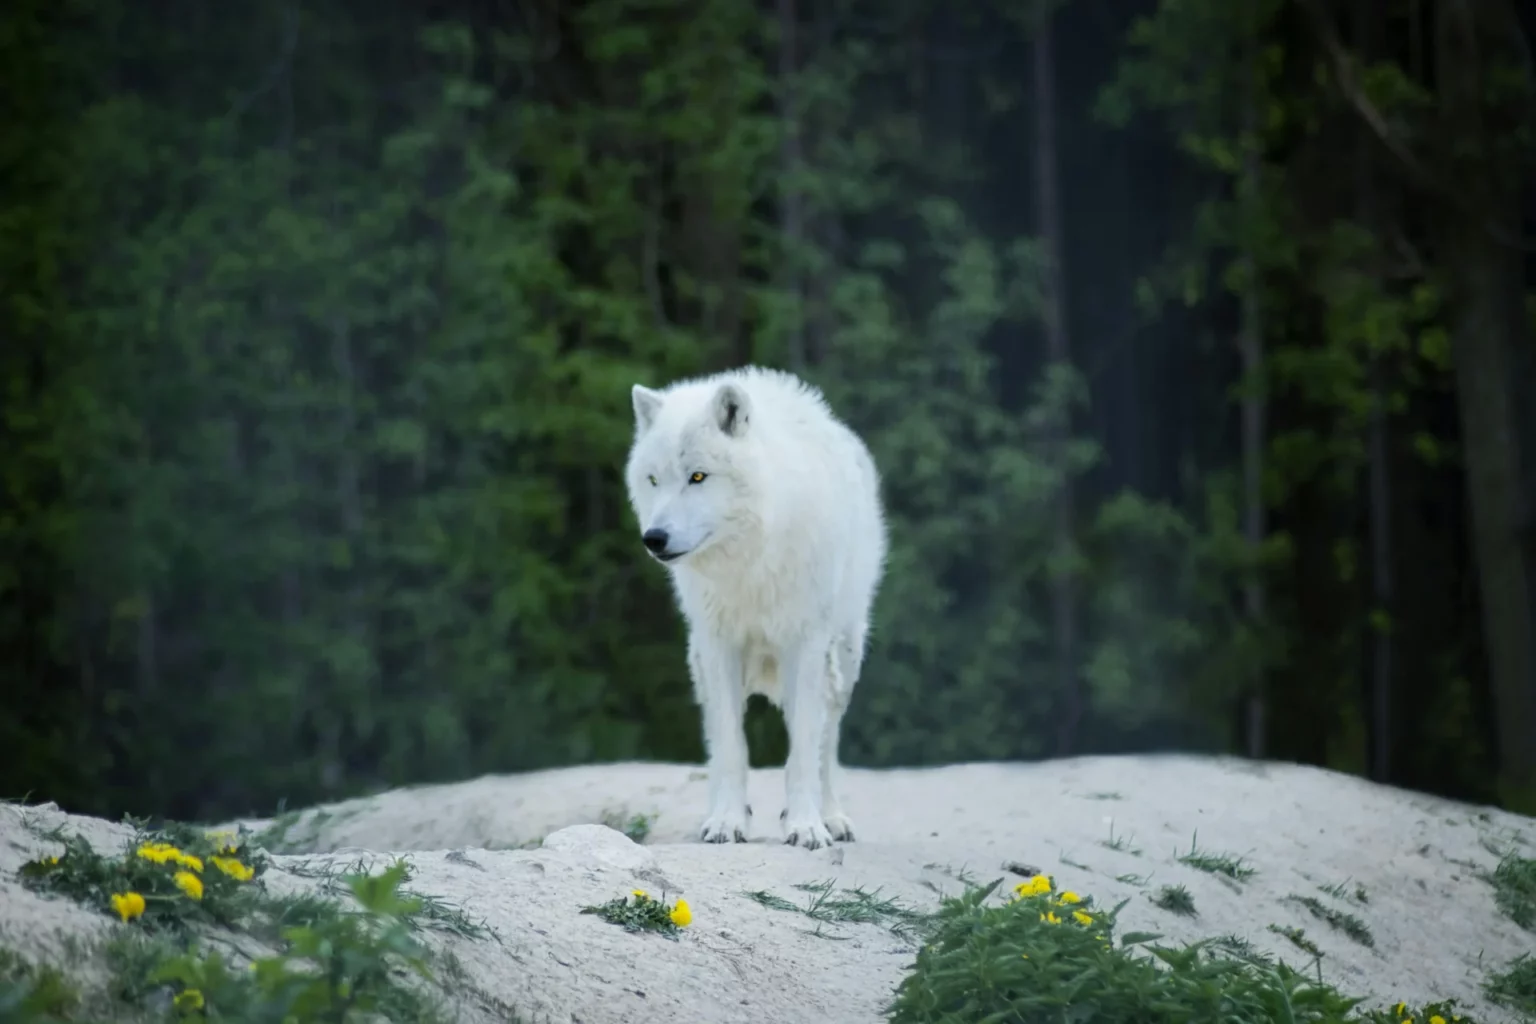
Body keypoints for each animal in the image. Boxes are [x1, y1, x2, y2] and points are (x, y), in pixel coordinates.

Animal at [623, 366, 890, 847]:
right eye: (653, 480)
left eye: (697, 477)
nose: (653, 539)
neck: (747, 559)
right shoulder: (720, 645)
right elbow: (732, 747)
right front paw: (727, 822)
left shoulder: (805, 643)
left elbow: (803, 750)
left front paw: (805, 826)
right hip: (701, 666)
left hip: (843, 660)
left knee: (827, 744)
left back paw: (831, 817)